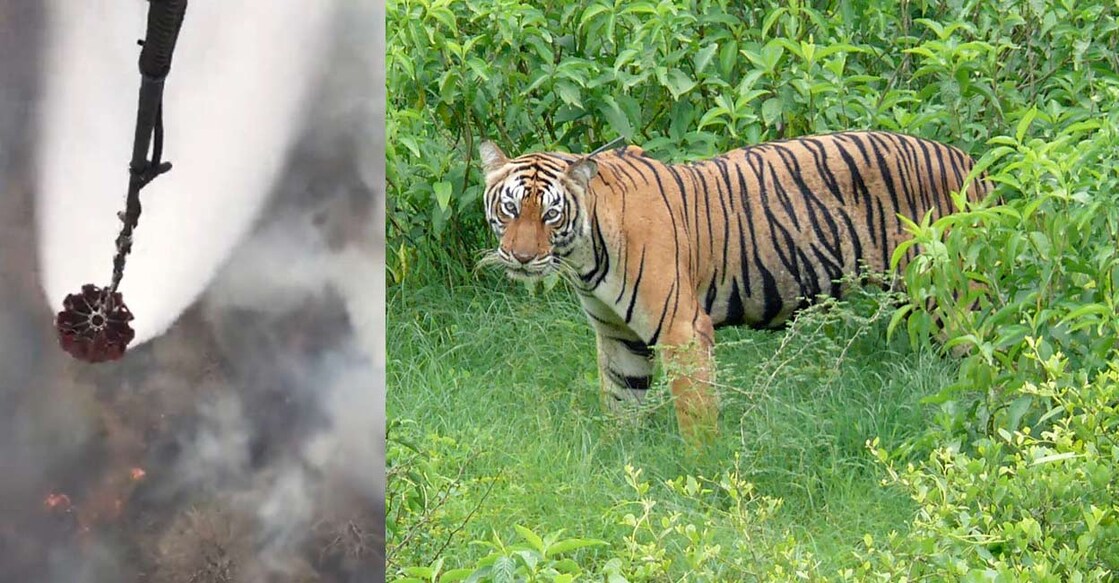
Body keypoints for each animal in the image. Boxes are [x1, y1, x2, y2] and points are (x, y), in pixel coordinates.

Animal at [478, 131, 992, 446]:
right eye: (510, 209)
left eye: (550, 214)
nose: (521, 257)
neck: (585, 253)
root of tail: (974, 163)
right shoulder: (618, 336)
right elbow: (622, 402)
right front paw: (618, 464)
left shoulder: (681, 329)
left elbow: (696, 410)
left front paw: (701, 470)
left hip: (956, 302)